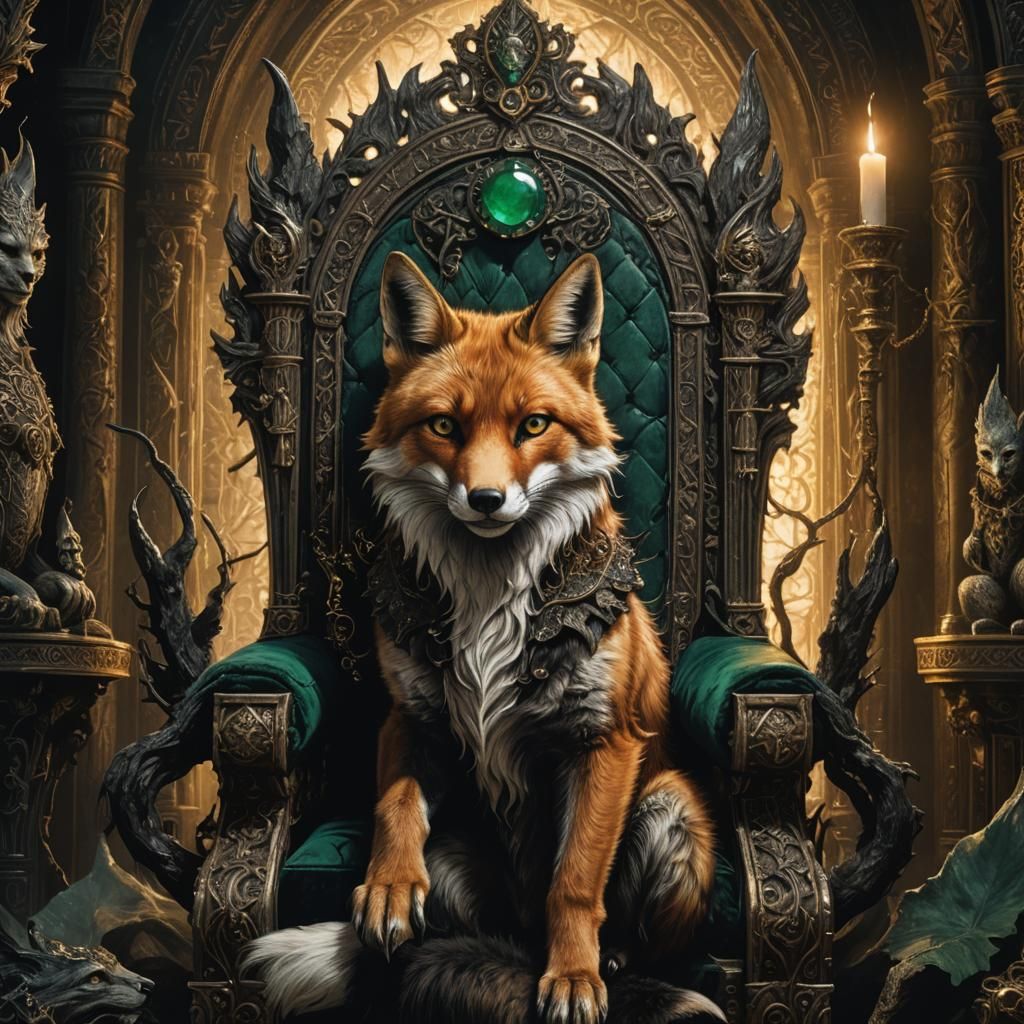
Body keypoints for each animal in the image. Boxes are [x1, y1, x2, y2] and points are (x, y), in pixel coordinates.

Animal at [245, 252, 723, 1024]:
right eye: (444, 425)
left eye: (533, 425)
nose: (488, 500)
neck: (490, 601)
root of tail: (516, 934)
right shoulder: (411, 716)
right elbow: (396, 809)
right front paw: (388, 888)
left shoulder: (604, 740)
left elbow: (574, 883)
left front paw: (573, 977)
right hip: (458, 863)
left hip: (669, 811)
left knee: (617, 925)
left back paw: (607, 962)